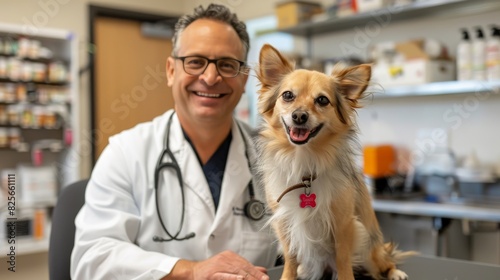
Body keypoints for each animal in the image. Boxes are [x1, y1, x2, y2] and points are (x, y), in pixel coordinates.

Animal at [256, 43, 412, 278]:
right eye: (288, 95)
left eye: (322, 100)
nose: (299, 116)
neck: (304, 159)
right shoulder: (284, 222)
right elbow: (290, 257)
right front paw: (288, 276)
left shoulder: (344, 224)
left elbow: (343, 258)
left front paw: (346, 277)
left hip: (368, 246)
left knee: (383, 262)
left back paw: (395, 272)